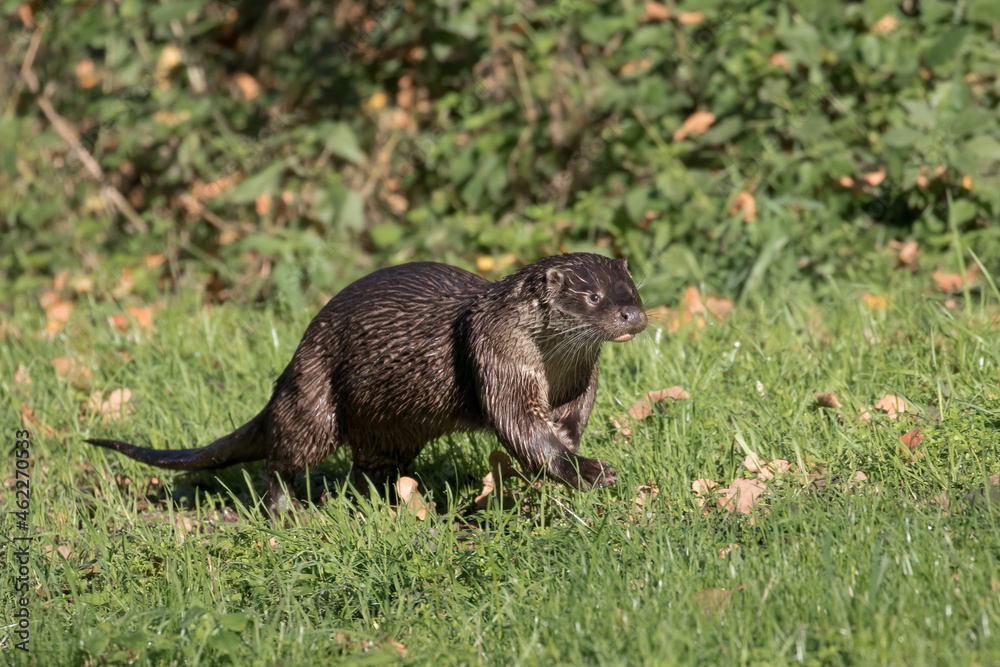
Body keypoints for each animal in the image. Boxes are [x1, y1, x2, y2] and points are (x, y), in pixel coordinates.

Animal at [86, 253, 647, 514]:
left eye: (633, 288)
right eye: (594, 296)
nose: (633, 315)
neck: (551, 366)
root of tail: (293, 362)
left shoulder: (579, 380)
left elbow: (565, 424)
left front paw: (567, 457)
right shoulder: (499, 358)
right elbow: (521, 425)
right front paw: (588, 471)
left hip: (390, 428)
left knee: (369, 466)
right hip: (312, 396)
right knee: (282, 456)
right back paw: (286, 511)